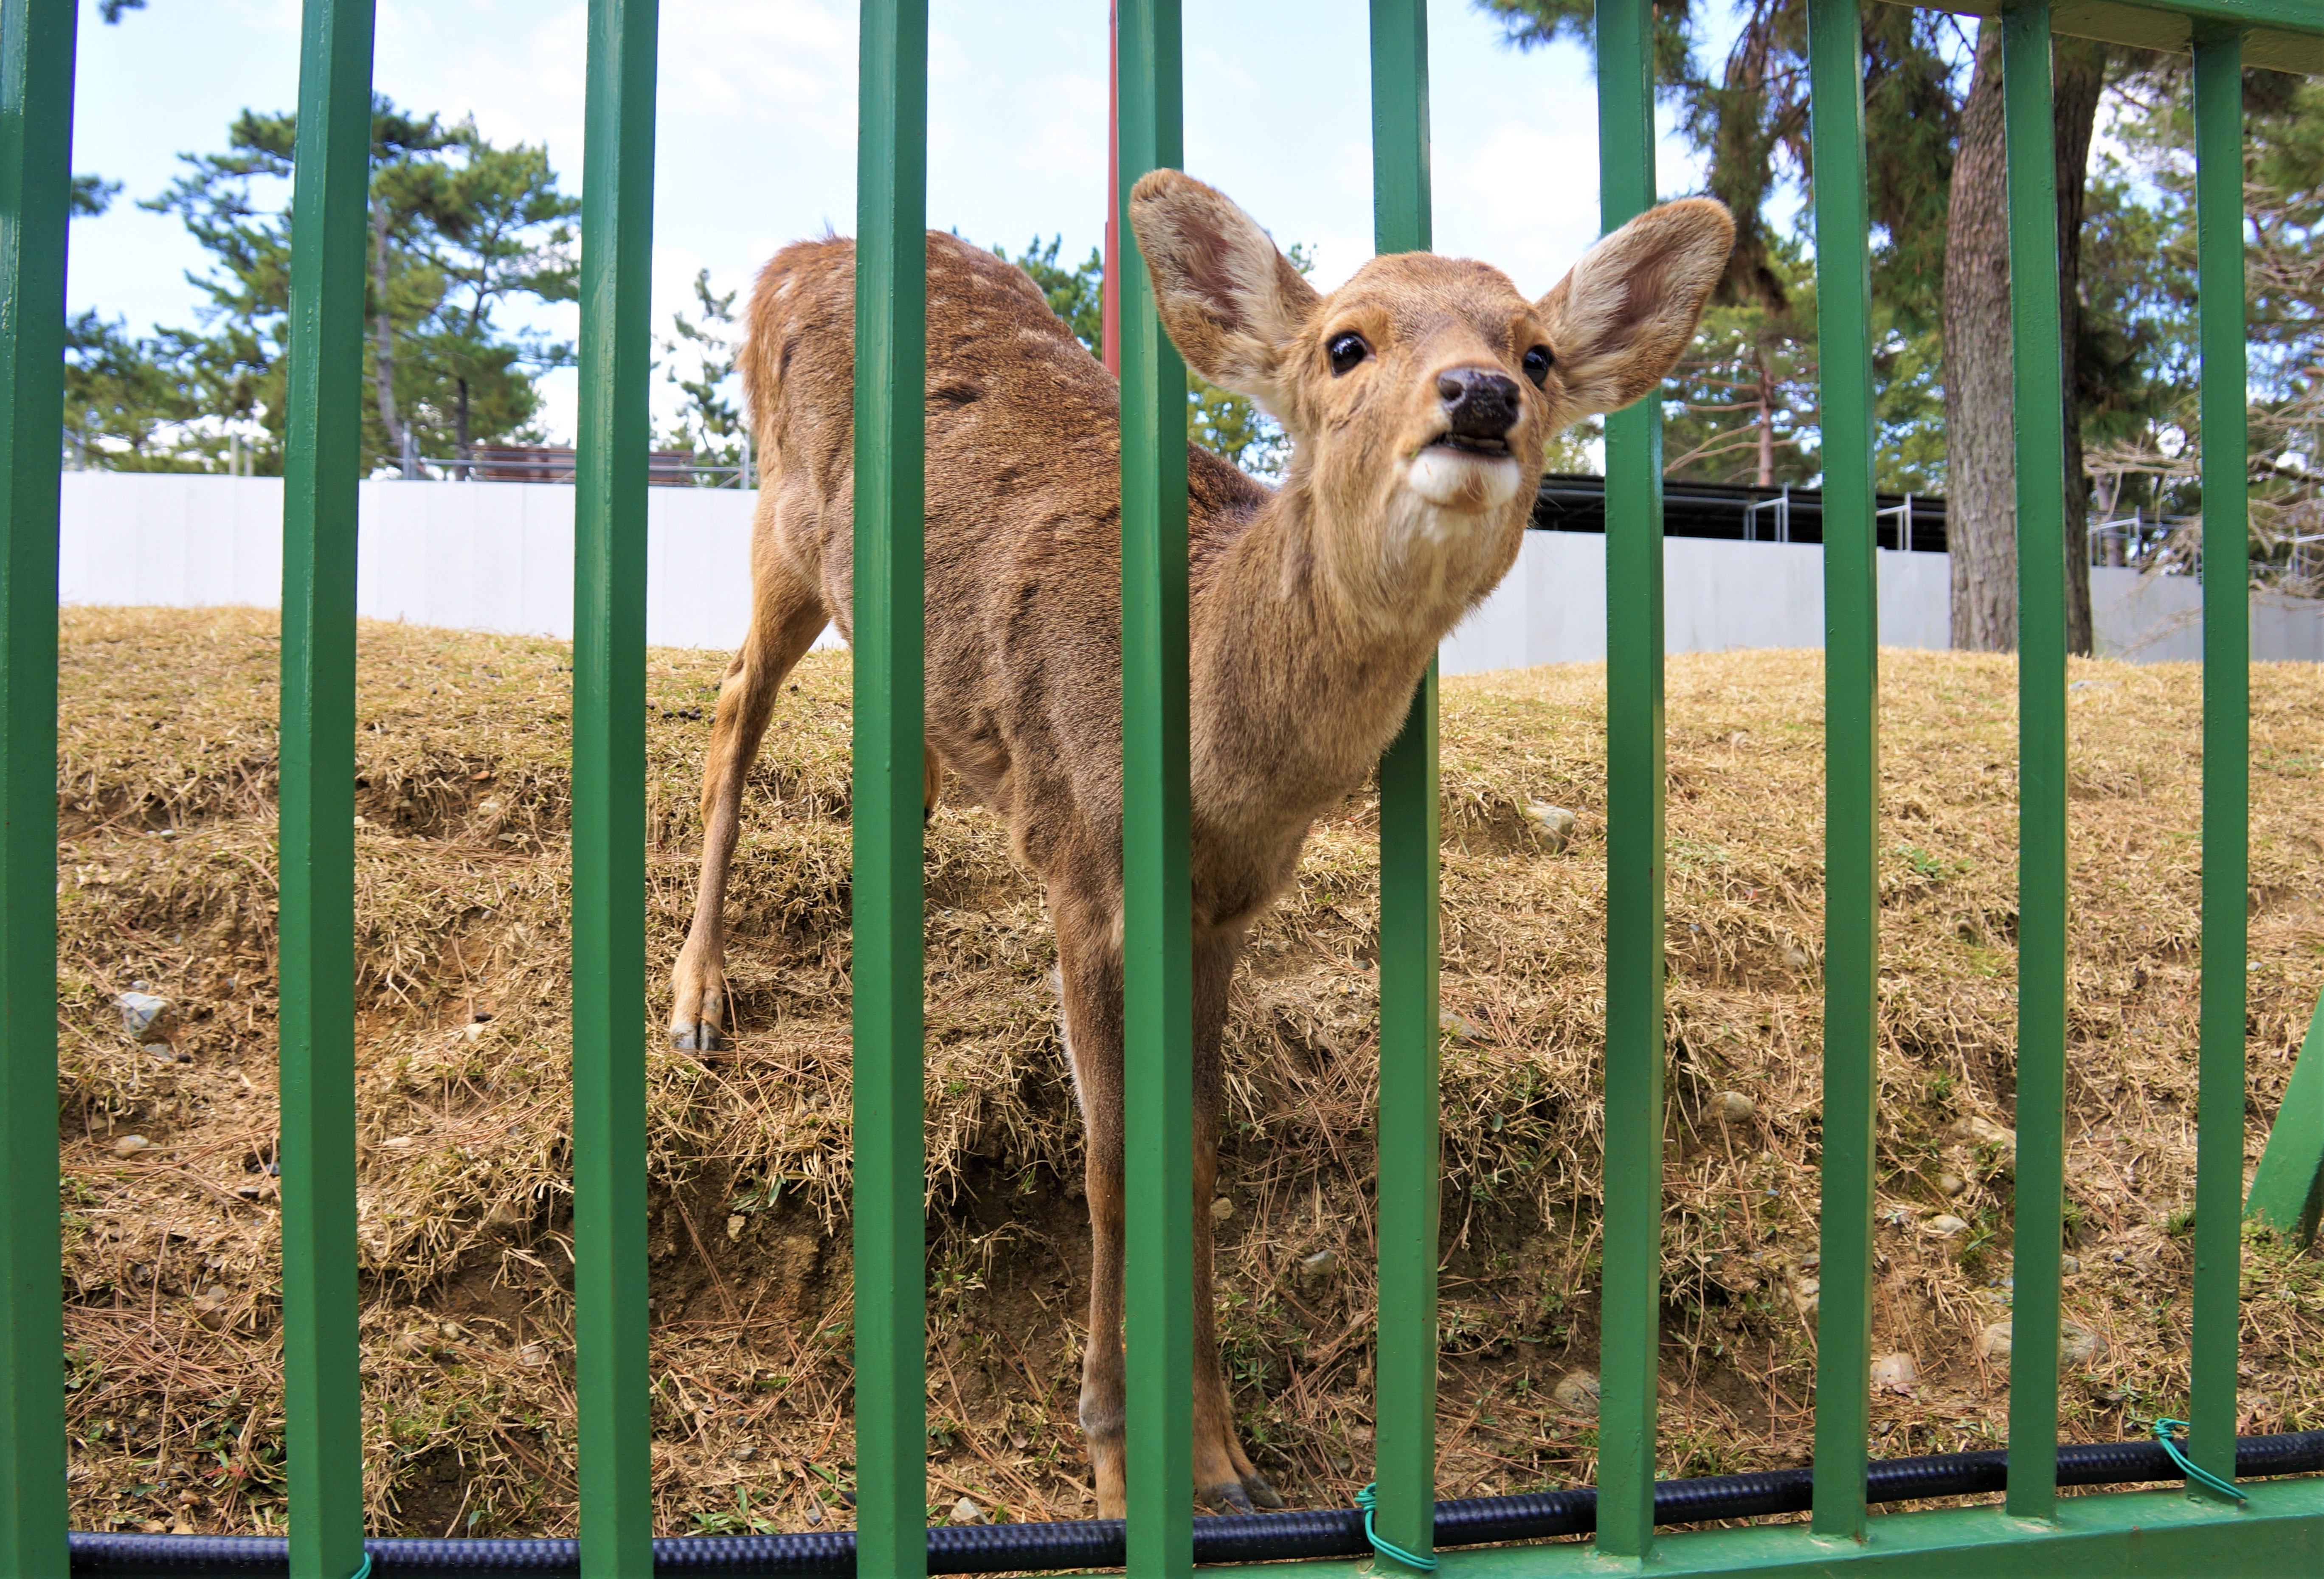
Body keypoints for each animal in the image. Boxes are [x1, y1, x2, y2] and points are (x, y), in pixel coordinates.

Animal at [669, 173, 1729, 1514]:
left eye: (1536, 354)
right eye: (1345, 344)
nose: (1479, 396)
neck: (1222, 762)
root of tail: (788, 259)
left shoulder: (1224, 909)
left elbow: (1203, 1150)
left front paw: (1225, 1461)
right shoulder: (1082, 861)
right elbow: (1115, 1157)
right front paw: (1116, 1457)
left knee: (899, 761)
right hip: (785, 521)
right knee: (729, 706)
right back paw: (696, 1001)